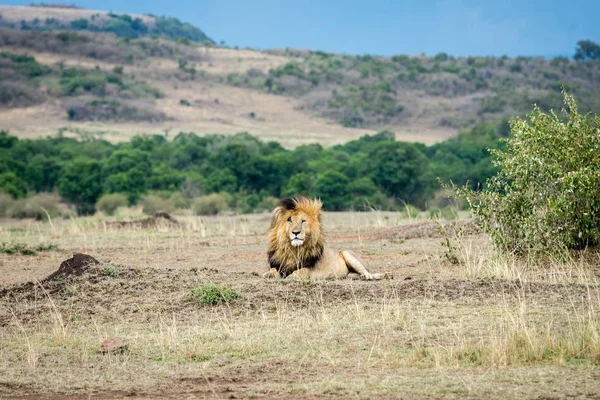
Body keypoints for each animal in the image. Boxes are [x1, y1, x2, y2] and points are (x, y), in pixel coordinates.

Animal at [264, 195, 392, 280]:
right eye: (289, 220)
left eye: (303, 221)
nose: (296, 232)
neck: (293, 249)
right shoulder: (278, 266)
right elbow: (271, 271)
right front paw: (269, 274)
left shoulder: (310, 269)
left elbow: (297, 273)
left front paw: (290, 277)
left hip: (348, 254)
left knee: (369, 274)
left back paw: (381, 275)